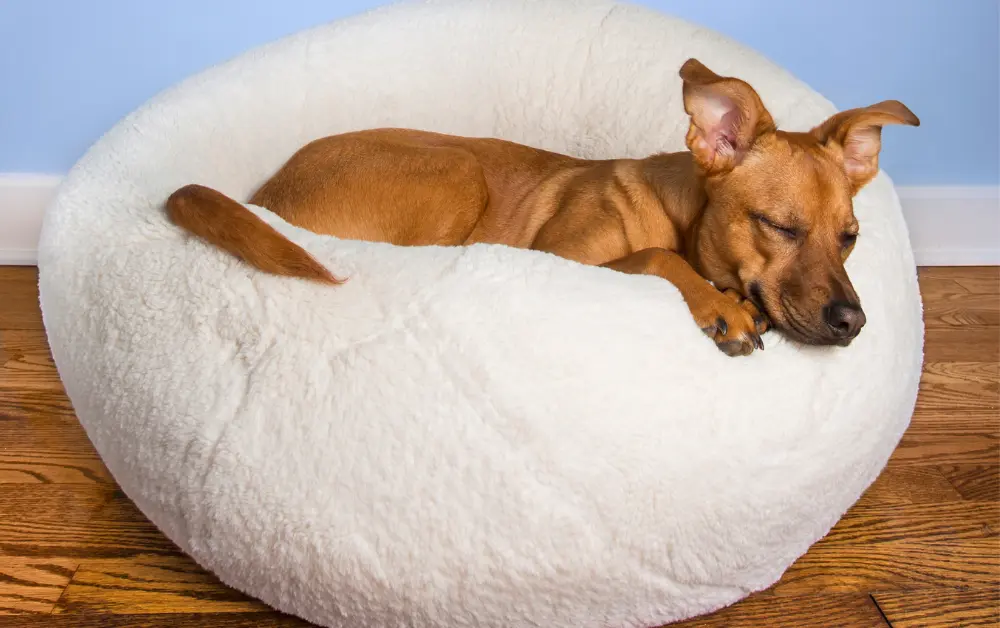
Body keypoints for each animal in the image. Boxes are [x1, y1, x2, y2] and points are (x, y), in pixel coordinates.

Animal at [168, 59, 916, 358]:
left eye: (849, 237)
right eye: (778, 226)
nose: (852, 323)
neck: (676, 210)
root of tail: (258, 201)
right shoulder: (561, 256)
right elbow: (657, 257)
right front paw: (719, 305)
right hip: (457, 169)